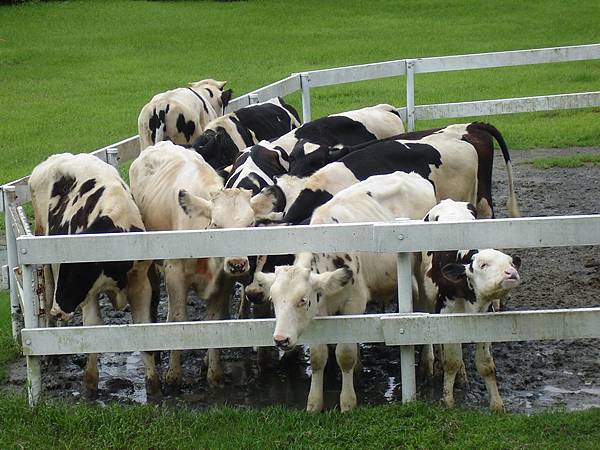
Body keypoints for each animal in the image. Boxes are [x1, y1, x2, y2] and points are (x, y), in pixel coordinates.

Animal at [129, 142, 232, 388]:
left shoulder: (223, 282)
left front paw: (214, 372)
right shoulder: (174, 272)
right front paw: (174, 374)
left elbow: (216, 320)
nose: (239, 263)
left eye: (251, 223)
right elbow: (180, 319)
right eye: (216, 224)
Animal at [253, 171, 436, 412]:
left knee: (427, 307)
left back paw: (427, 361)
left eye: (302, 300)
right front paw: (314, 403)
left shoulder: (354, 304)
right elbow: (318, 356)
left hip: (422, 270)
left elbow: (345, 354)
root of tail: (412, 175)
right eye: (274, 300)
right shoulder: (320, 310)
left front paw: (348, 401)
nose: (281, 339)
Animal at [420, 200, 524, 412]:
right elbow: (451, 360)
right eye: (483, 265)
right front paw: (448, 400)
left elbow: (486, 365)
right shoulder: (447, 312)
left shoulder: (483, 317)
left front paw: (497, 404)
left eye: (511, 263)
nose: (511, 273)